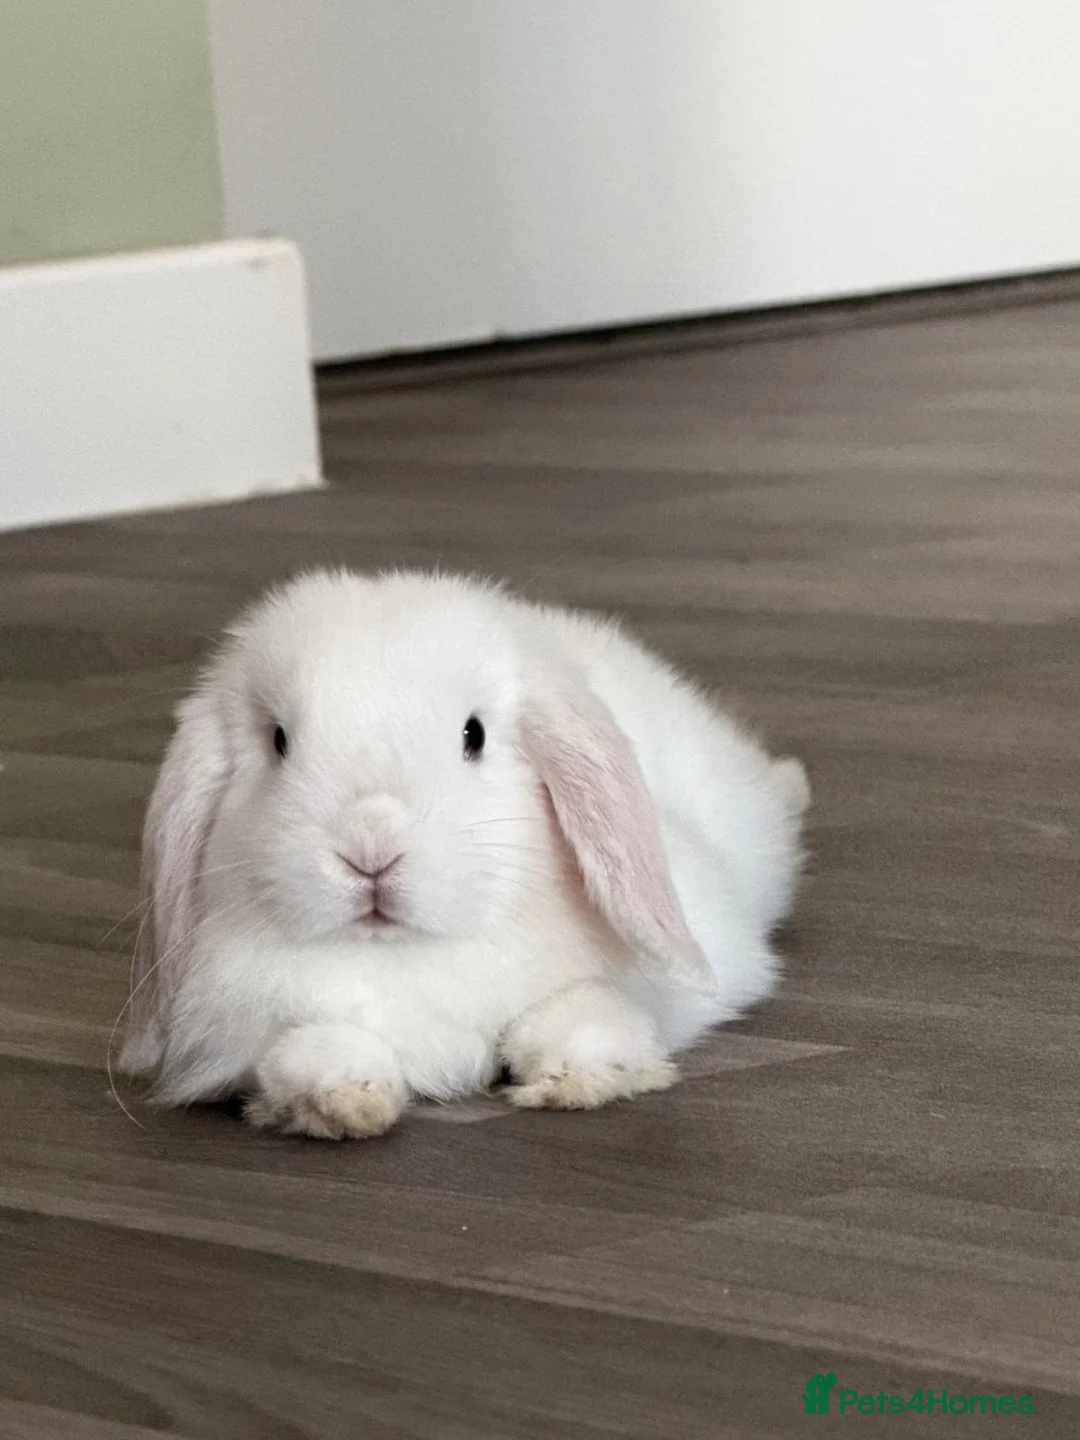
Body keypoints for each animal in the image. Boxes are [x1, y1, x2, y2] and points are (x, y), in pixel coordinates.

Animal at [119, 568, 810, 1139]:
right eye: (280, 741)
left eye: (473, 735)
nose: (370, 850)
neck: (406, 954)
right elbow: (314, 1051)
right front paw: (346, 1101)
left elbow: (574, 1011)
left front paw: (571, 1080)